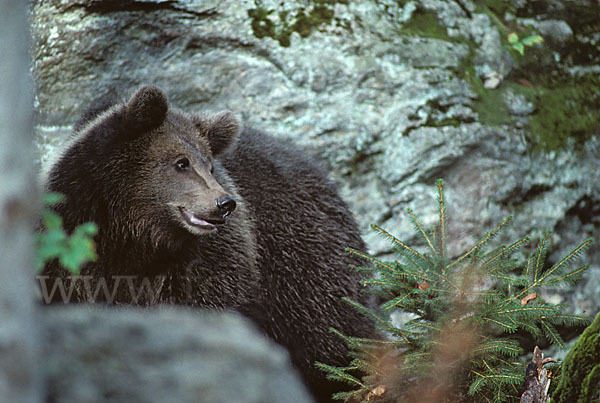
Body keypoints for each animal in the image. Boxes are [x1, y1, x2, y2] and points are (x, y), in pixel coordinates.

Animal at [38, 84, 376, 400]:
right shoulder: (68, 250)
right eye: (181, 162)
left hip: (304, 273)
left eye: (210, 165)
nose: (224, 204)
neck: (135, 239)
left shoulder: (209, 266)